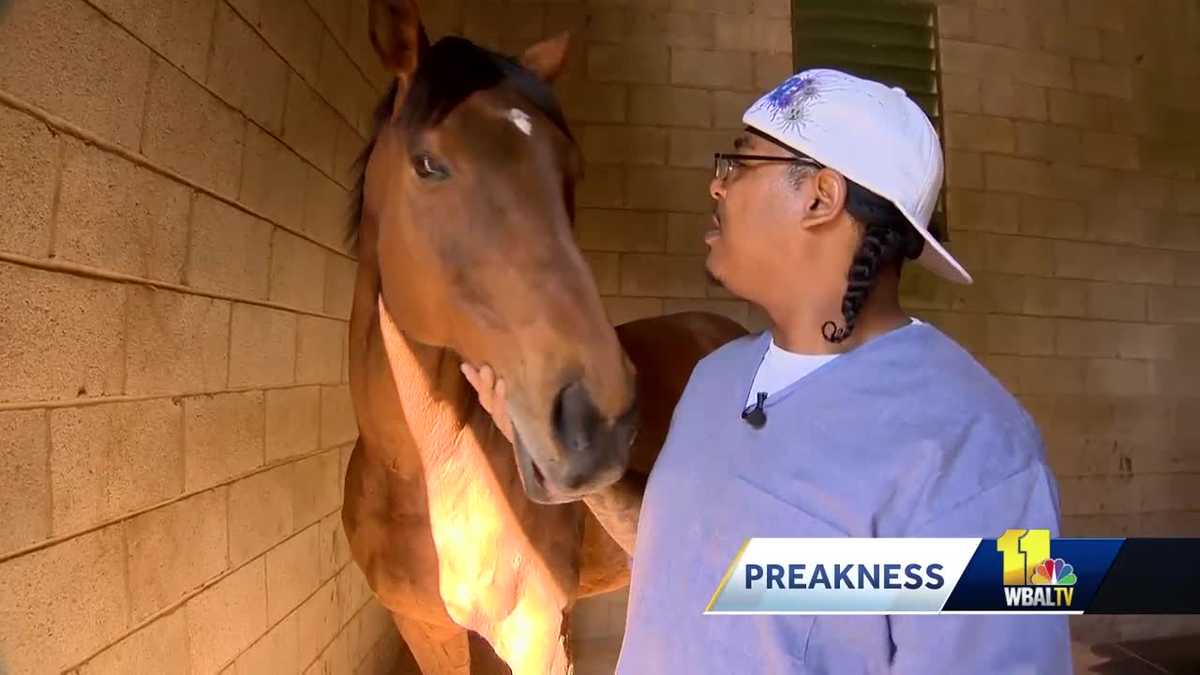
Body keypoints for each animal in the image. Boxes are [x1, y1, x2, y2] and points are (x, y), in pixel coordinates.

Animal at [342, 1, 748, 672]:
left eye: (569, 171)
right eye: (428, 164)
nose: (599, 422)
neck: (422, 471)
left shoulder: (535, 635)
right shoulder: (424, 630)